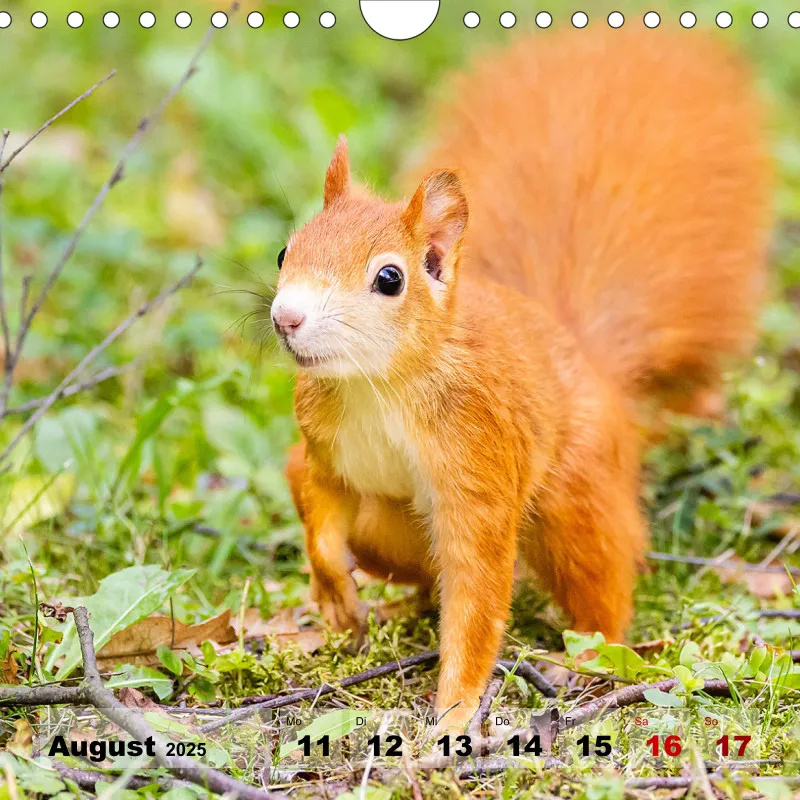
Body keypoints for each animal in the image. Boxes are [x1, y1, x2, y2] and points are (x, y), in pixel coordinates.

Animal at [272, 28, 773, 728]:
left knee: (600, 580)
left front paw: (455, 711)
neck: (378, 388)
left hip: (577, 492)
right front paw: (333, 589)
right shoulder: (324, 444)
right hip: (385, 526)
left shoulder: (478, 458)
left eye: (389, 278)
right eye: (285, 252)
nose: (286, 318)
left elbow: (478, 590)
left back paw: (586, 657)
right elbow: (318, 500)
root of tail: (585, 360)